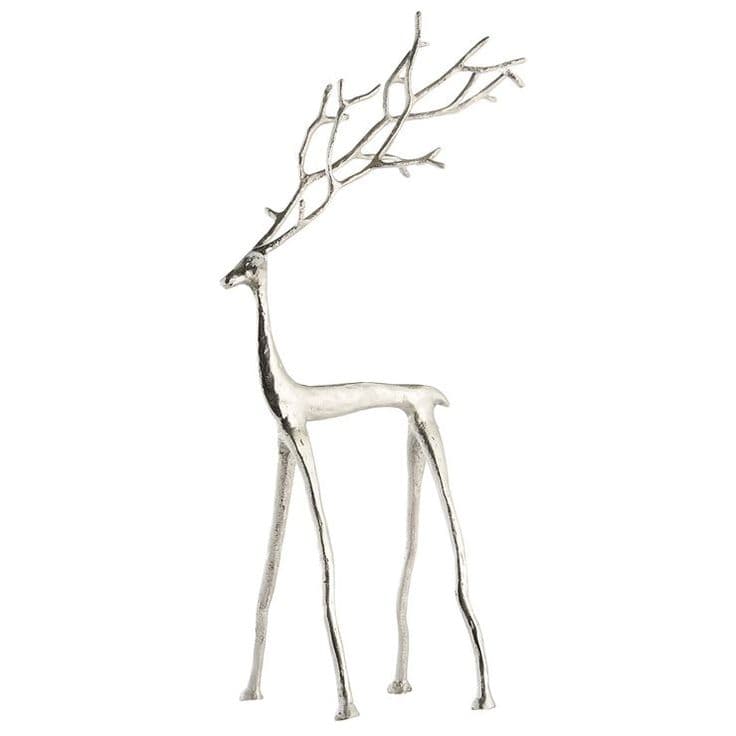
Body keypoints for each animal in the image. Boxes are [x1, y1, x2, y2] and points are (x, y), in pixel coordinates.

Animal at [221, 12, 524, 721]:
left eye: (252, 261)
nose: (222, 277)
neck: (286, 387)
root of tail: (432, 389)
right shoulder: (283, 445)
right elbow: (267, 572)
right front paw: (250, 692)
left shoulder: (302, 436)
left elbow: (327, 564)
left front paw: (345, 706)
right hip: (410, 425)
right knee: (412, 552)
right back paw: (403, 683)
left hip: (431, 428)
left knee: (460, 558)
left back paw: (483, 697)